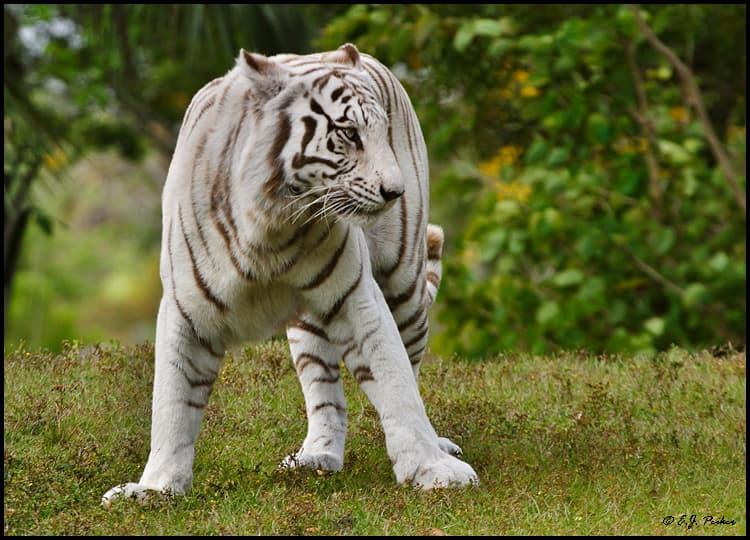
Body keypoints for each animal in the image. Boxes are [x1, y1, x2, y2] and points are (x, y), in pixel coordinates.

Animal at [102, 43, 477, 505]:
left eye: (381, 132)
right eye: (348, 134)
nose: (395, 192)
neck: (272, 224)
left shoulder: (358, 297)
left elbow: (397, 383)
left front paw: (432, 468)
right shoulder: (185, 309)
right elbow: (171, 404)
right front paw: (156, 488)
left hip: (403, 281)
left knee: (411, 361)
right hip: (307, 327)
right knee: (323, 391)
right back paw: (316, 456)